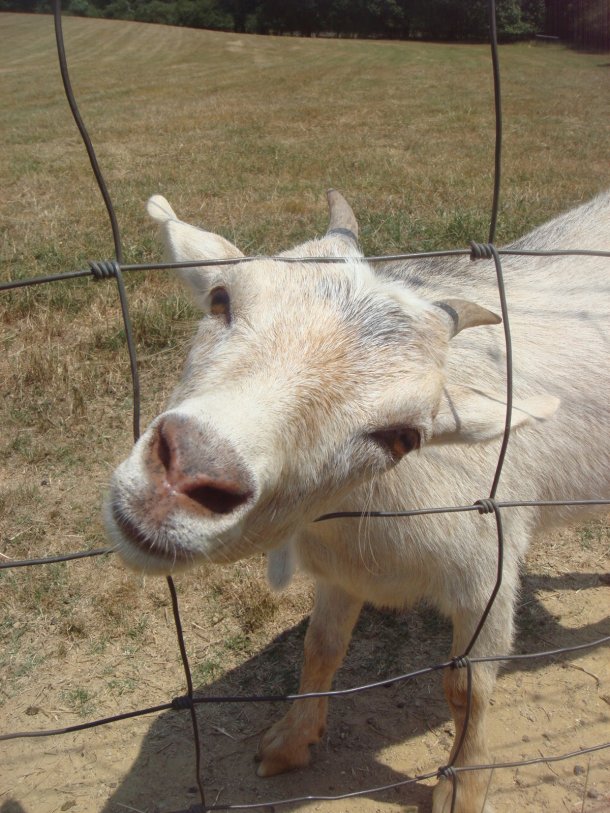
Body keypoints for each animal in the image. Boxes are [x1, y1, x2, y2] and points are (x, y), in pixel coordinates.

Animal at [105, 190, 609, 812]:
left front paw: (462, 787)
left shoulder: (487, 570)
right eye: (221, 298)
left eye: (402, 436)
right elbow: (321, 647)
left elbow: (466, 685)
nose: (186, 474)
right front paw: (289, 742)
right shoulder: (341, 571)